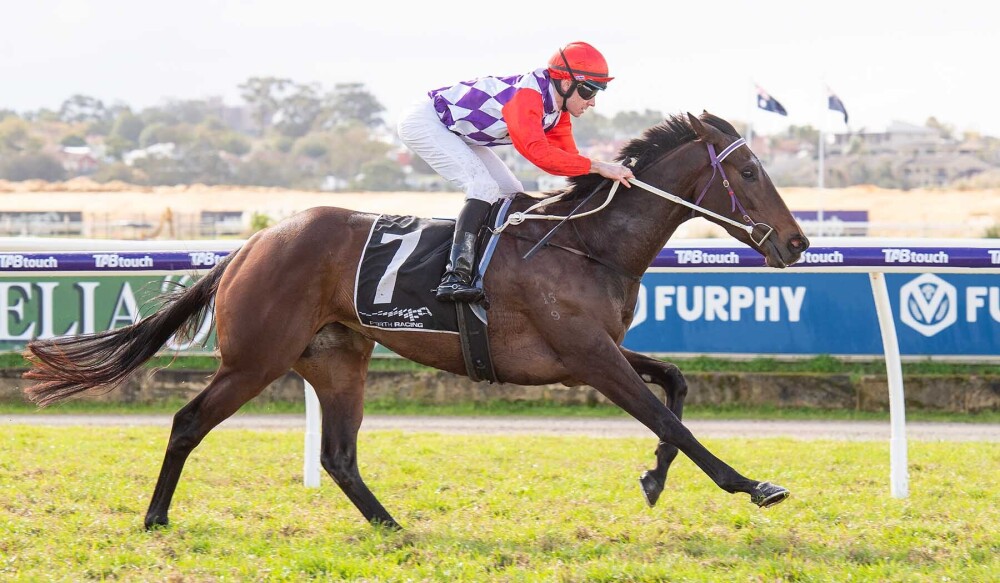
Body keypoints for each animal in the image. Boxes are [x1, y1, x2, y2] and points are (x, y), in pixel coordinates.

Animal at [21, 112, 804, 532]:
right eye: (752, 173)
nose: (796, 243)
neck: (587, 241)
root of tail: (249, 244)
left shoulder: (594, 351)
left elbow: (674, 385)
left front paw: (653, 478)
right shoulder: (586, 355)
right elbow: (667, 413)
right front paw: (752, 485)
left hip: (337, 357)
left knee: (338, 454)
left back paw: (393, 527)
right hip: (255, 358)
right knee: (189, 421)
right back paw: (155, 518)